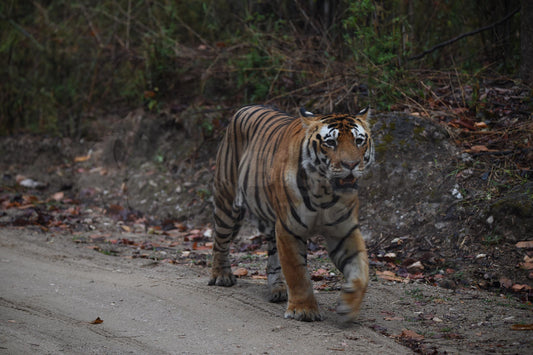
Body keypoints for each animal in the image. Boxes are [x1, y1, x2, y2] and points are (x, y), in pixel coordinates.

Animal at [208, 103, 374, 322]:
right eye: (330, 142)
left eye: (358, 141)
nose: (351, 165)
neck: (324, 192)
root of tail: (244, 107)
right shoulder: (289, 228)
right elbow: (297, 272)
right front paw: (304, 310)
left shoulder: (344, 231)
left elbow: (360, 271)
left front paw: (349, 305)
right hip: (227, 202)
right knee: (220, 241)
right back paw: (221, 275)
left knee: (272, 258)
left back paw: (278, 289)